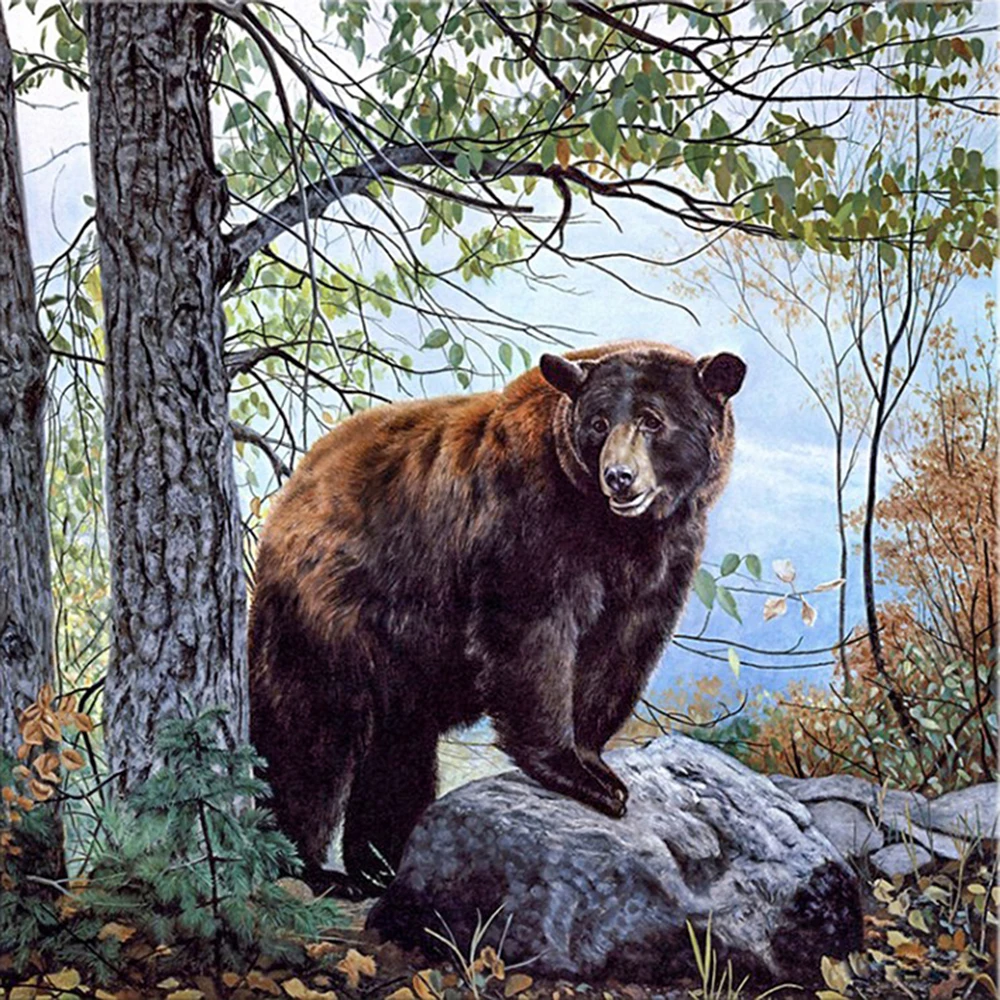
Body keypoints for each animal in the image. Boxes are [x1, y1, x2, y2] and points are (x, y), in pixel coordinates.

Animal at [248, 340, 746, 898]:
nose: (619, 477)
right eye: (598, 423)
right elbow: (531, 632)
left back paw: (382, 863)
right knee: (308, 735)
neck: (614, 530)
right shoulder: (528, 518)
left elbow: (620, 650)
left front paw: (596, 764)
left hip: (402, 657)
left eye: (652, 420)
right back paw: (308, 865)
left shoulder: (665, 557)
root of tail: (292, 491)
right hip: (329, 609)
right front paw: (574, 773)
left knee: (398, 750)